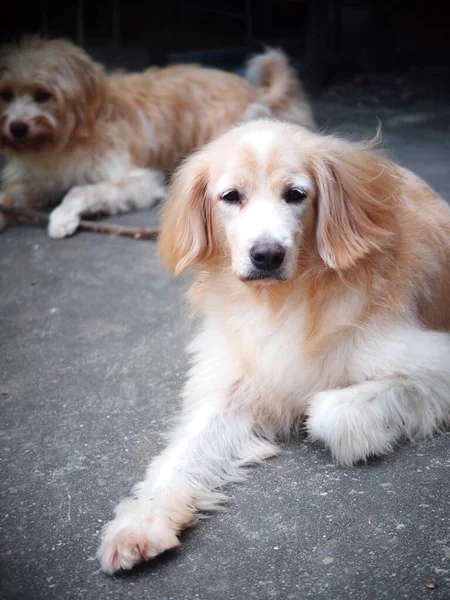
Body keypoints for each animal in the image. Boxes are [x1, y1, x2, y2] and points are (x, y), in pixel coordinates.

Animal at [0, 35, 314, 239]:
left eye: (43, 95)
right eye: (6, 94)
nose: (17, 128)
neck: (66, 137)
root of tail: (256, 93)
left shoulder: (138, 180)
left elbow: (82, 190)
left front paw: (62, 216)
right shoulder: (36, 179)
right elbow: (12, 194)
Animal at [96, 119, 450, 576]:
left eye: (296, 194)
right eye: (231, 196)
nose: (267, 255)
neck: (285, 301)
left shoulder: (432, 362)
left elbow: (331, 411)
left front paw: (362, 437)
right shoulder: (234, 385)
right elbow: (180, 457)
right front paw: (141, 522)